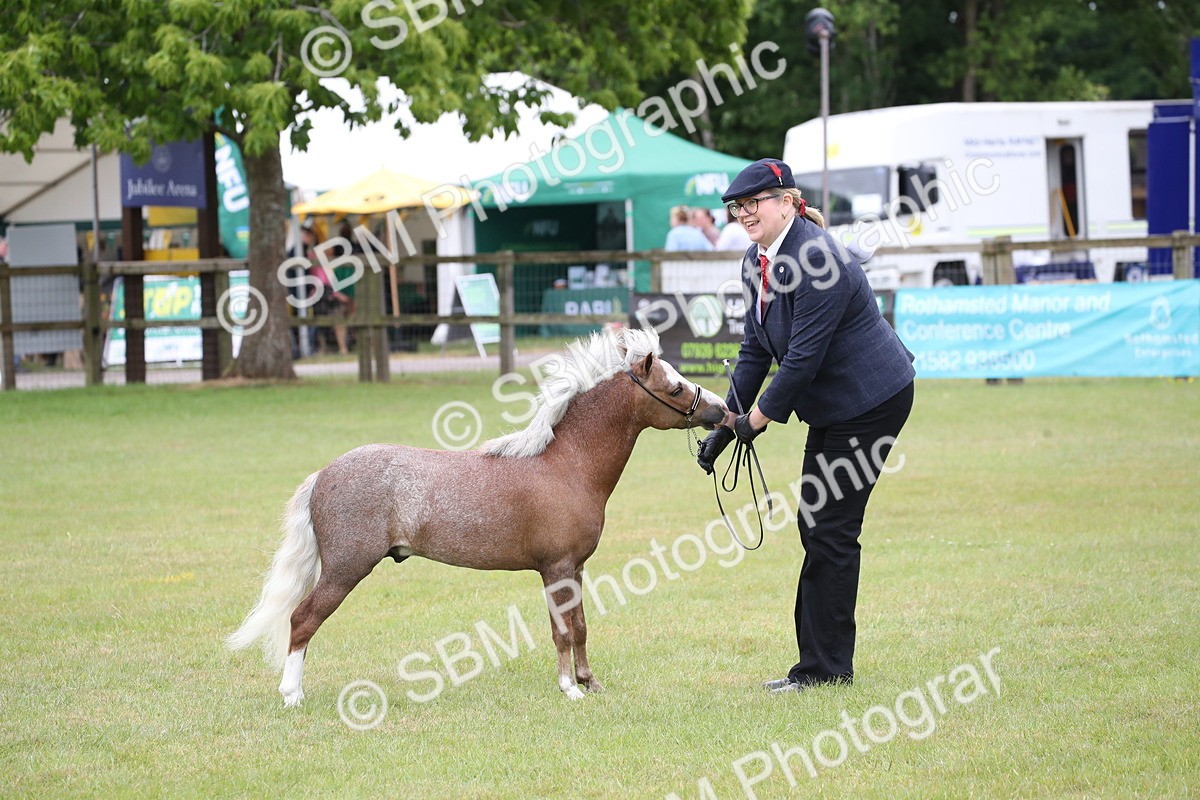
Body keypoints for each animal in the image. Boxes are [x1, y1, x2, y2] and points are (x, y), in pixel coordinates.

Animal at [227, 327, 728, 706]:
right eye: (675, 386)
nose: (722, 410)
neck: (567, 463)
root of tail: (323, 474)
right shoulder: (557, 569)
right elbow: (562, 631)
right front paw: (569, 689)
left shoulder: (575, 570)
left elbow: (580, 627)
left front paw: (589, 682)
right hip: (344, 570)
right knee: (302, 620)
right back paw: (292, 694)